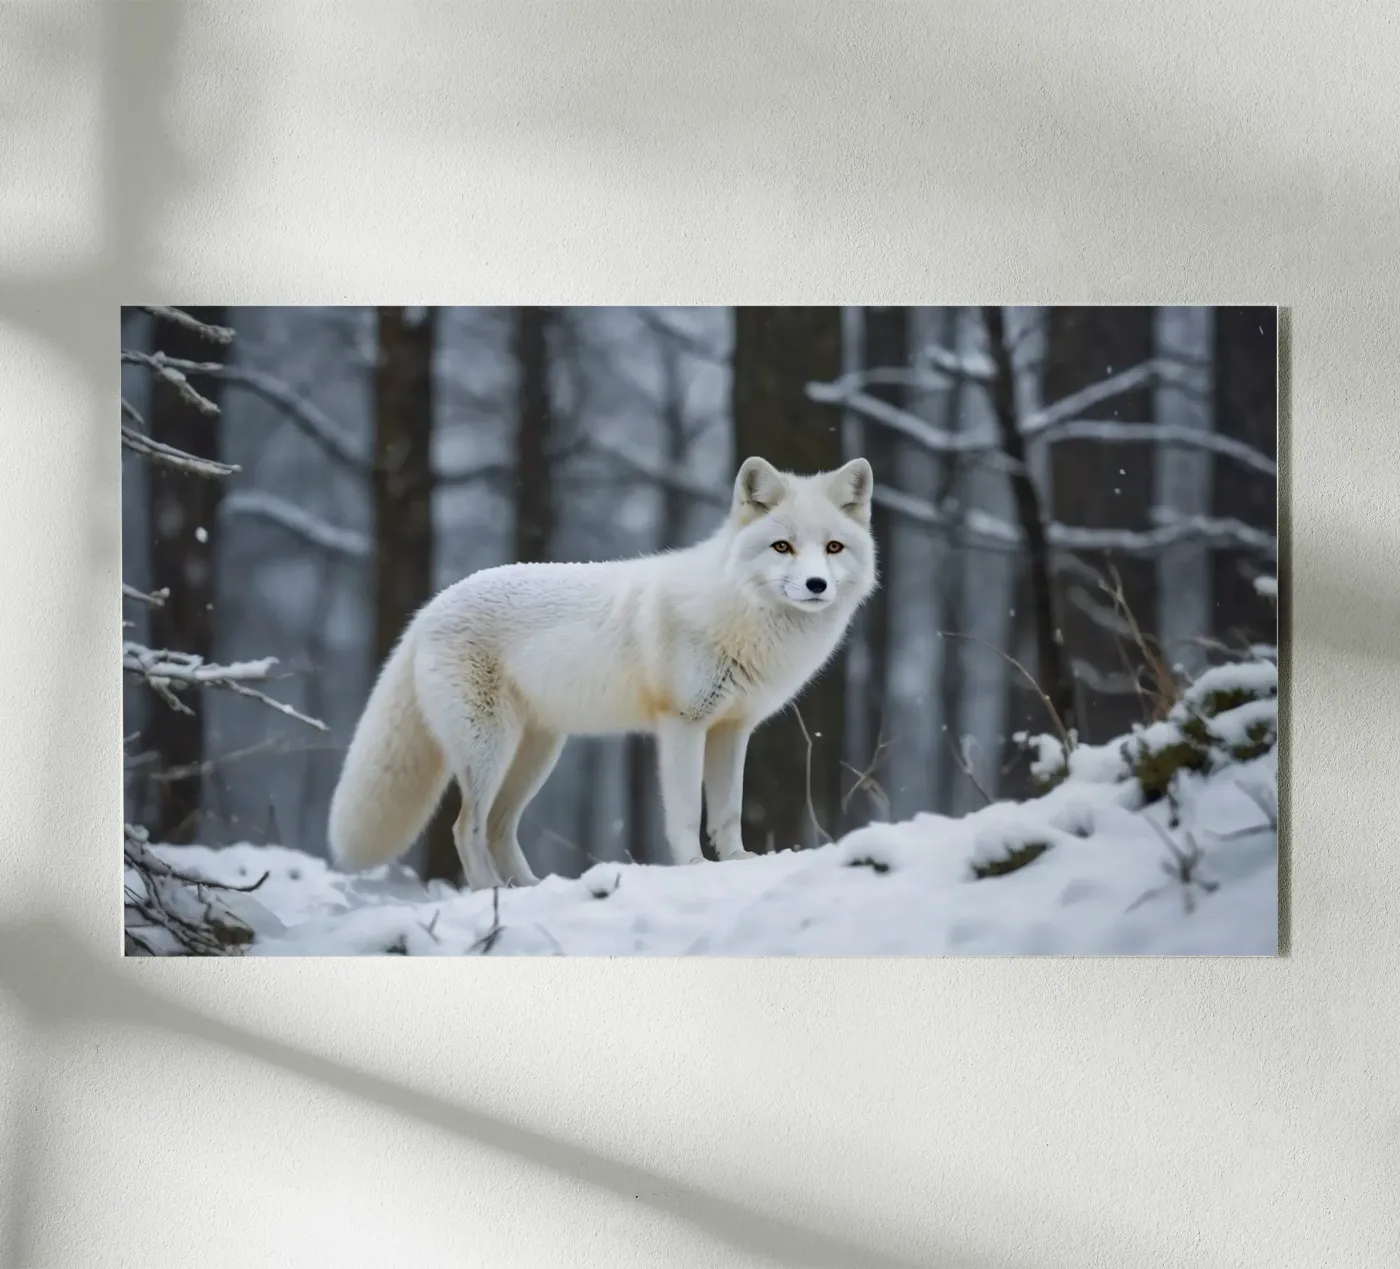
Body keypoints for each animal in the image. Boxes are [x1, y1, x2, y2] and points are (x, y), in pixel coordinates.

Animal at [327, 454, 877, 890]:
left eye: (833, 548)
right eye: (782, 547)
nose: (816, 584)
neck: (737, 614)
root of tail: (429, 608)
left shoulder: (732, 729)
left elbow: (728, 813)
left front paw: (739, 863)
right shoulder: (683, 725)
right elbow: (685, 814)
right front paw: (694, 869)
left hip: (537, 755)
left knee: (500, 828)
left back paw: (530, 889)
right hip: (489, 750)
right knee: (466, 829)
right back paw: (491, 894)